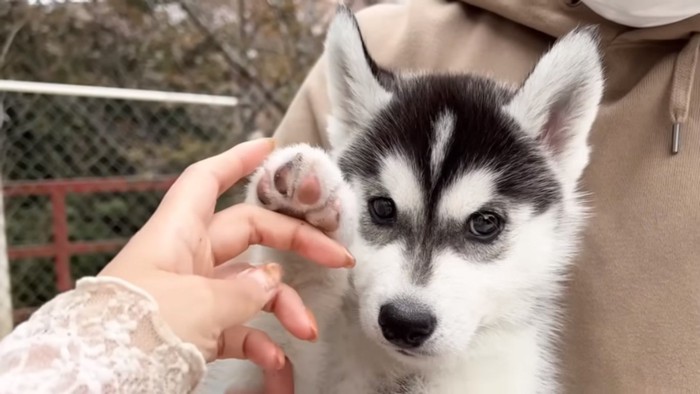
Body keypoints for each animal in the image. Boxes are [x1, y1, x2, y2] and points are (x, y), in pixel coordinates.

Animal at [196, 5, 600, 394]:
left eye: (485, 223)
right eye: (382, 208)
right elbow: (284, 336)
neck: (403, 372)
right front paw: (304, 227)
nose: (405, 322)